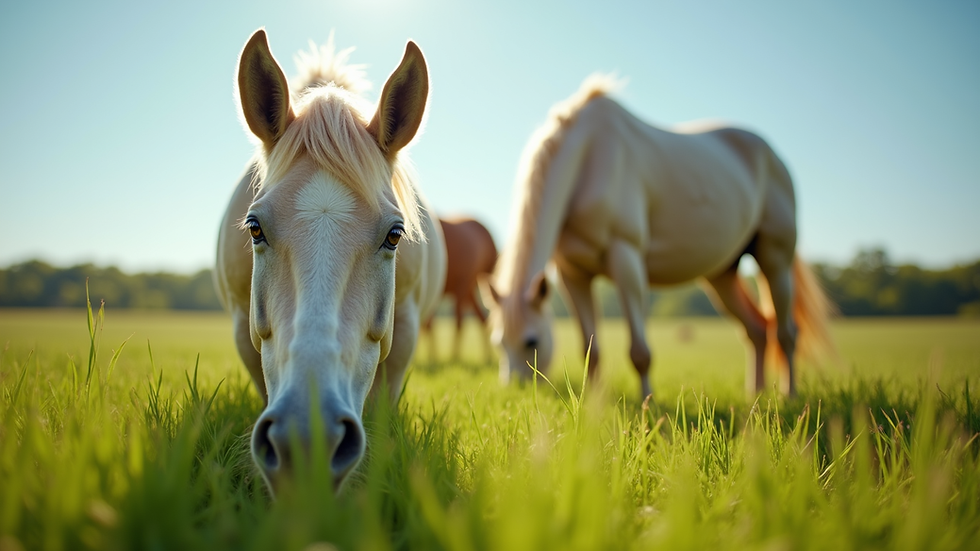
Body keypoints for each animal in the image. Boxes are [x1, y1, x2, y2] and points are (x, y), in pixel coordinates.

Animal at [481, 75, 834, 401]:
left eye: (532, 341)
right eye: (498, 341)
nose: (514, 390)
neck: (588, 160)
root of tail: (772, 155)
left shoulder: (626, 260)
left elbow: (640, 352)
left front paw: (647, 404)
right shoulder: (573, 275)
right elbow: (591, 352)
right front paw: (594, 406)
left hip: (775, 259)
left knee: (786, 332)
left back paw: (790, 397)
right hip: (722, 274)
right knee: (757, 331)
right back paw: (756, 396)